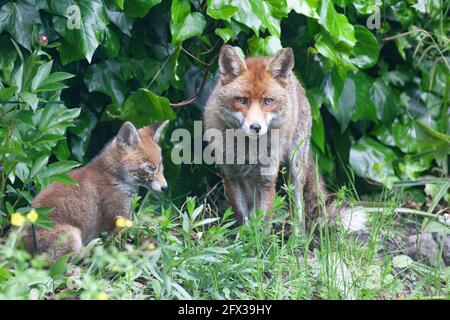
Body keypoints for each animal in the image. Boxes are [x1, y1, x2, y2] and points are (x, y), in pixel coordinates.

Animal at [204, 45, 366, 230]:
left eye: (268, 101)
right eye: (242, 100)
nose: (256, 127)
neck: (248, 150)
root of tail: (295, 81)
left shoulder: (267, 179)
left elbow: (264, 222)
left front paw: (260, 237)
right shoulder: (231, 176)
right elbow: (242, 217)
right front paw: (244, 235)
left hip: (295, 168)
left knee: (299, 211)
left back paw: (298, 235)